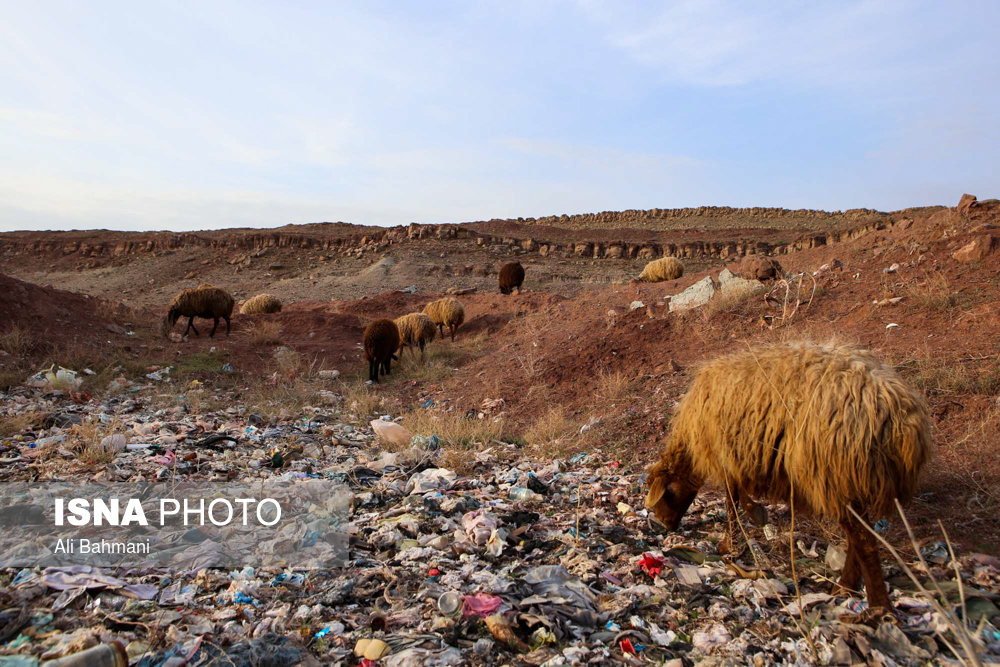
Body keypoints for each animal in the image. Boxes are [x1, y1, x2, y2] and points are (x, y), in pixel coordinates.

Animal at [644, 344, 932, 612]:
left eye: (666, 494)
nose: (666, 525)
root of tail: (903, 420)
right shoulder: (738, 455)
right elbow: (738, 494)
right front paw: (756, 514)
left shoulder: (726, 454)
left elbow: (732, 500)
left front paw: (730, 542)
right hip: (847, 481)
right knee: (860, 538)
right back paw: (847, 587)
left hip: (834, 476)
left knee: (865, 543)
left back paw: (875, 604)